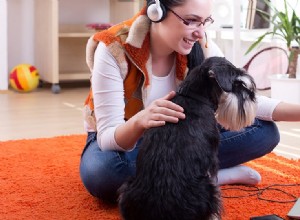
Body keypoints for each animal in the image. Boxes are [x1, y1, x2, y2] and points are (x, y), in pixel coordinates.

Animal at [118, 57, 256, 220]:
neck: (194, 97)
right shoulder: (211, 159)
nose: (253, 97)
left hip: (128, 188)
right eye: (237, 83)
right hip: (207, 189)